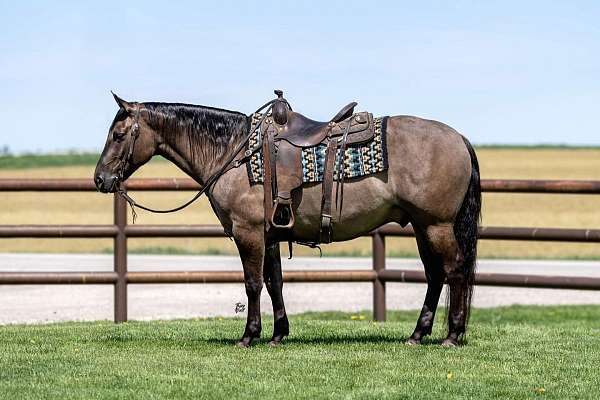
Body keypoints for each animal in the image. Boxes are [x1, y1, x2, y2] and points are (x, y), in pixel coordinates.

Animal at [95, 93, 482, 346]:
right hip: (421, 226)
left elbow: (252, 284)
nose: (100, 179)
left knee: (455, 271)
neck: (233, 152)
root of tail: (460, 139)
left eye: (118, 135)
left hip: (436, 226)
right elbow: (274, 283)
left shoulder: (248, 233)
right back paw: (418, 334)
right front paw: (279, 333)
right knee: (435, 276)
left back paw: (452, 334)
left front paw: (249, 335)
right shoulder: (269, 236)